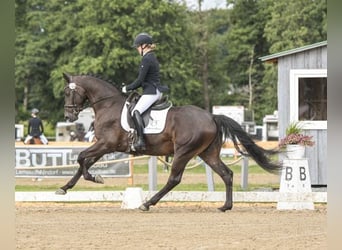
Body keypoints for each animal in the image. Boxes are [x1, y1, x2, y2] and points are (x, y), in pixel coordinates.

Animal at [58, 73, 284, 212]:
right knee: (226, 174)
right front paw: (65, 187)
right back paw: (225, 206)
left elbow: (81, 158)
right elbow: (84, 162)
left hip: (183, 152)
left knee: (174, 179)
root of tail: (211, 116)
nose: (68, 116)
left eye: (68, 92)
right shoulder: (104, 145)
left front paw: (95, 178)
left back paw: (147, 203)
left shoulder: (106, 144)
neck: (108, 105)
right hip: (207, 153)